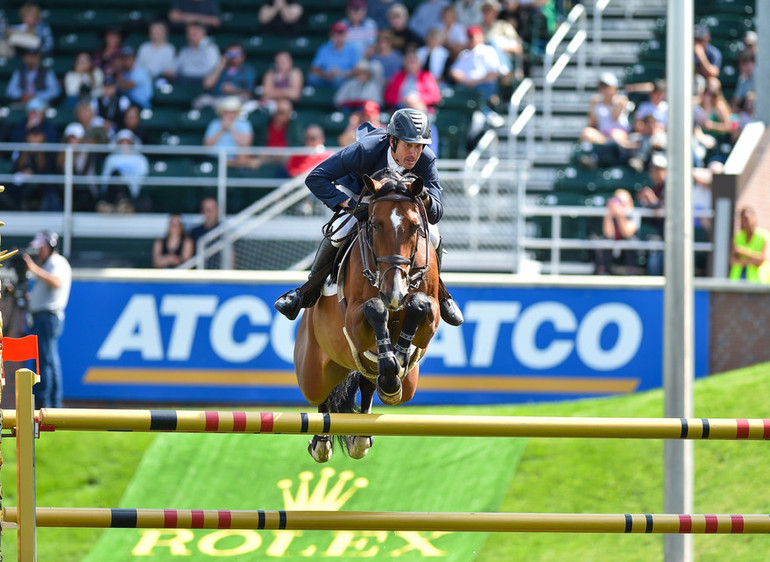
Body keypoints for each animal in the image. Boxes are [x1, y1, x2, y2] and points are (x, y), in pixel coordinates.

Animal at [292, 168, 438, 462]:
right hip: (311, 373)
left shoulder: (433, 314)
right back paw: (321, 443)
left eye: (415, 227)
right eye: (375, 225)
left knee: (369, 380)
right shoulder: (354, 319)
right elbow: (375, 308)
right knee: (322, 397)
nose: (394, 292)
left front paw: (399, 358)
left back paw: (362, 432)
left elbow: (420, 305)